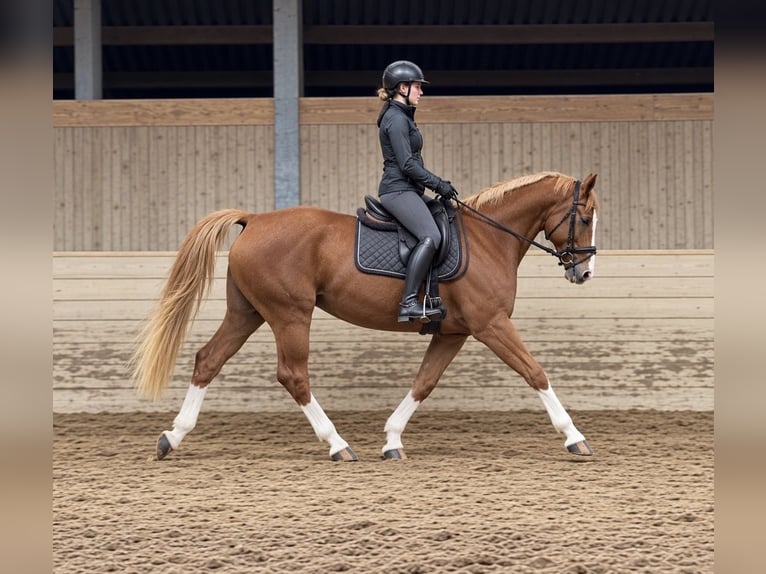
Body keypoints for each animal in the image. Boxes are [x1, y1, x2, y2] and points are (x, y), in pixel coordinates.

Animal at [130, 171, 600, 461]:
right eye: (585, 216)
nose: (584, 273)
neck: (489, 237)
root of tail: (255, 219)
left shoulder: (453, 333)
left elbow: (424, 382)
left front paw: (392, 440)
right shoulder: (492, 324)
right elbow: (535, 372)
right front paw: (574, 437)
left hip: (247, 312)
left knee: (208, 360)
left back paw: (171, 437)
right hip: (289, 314)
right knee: (292, 375)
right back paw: (336, 444)